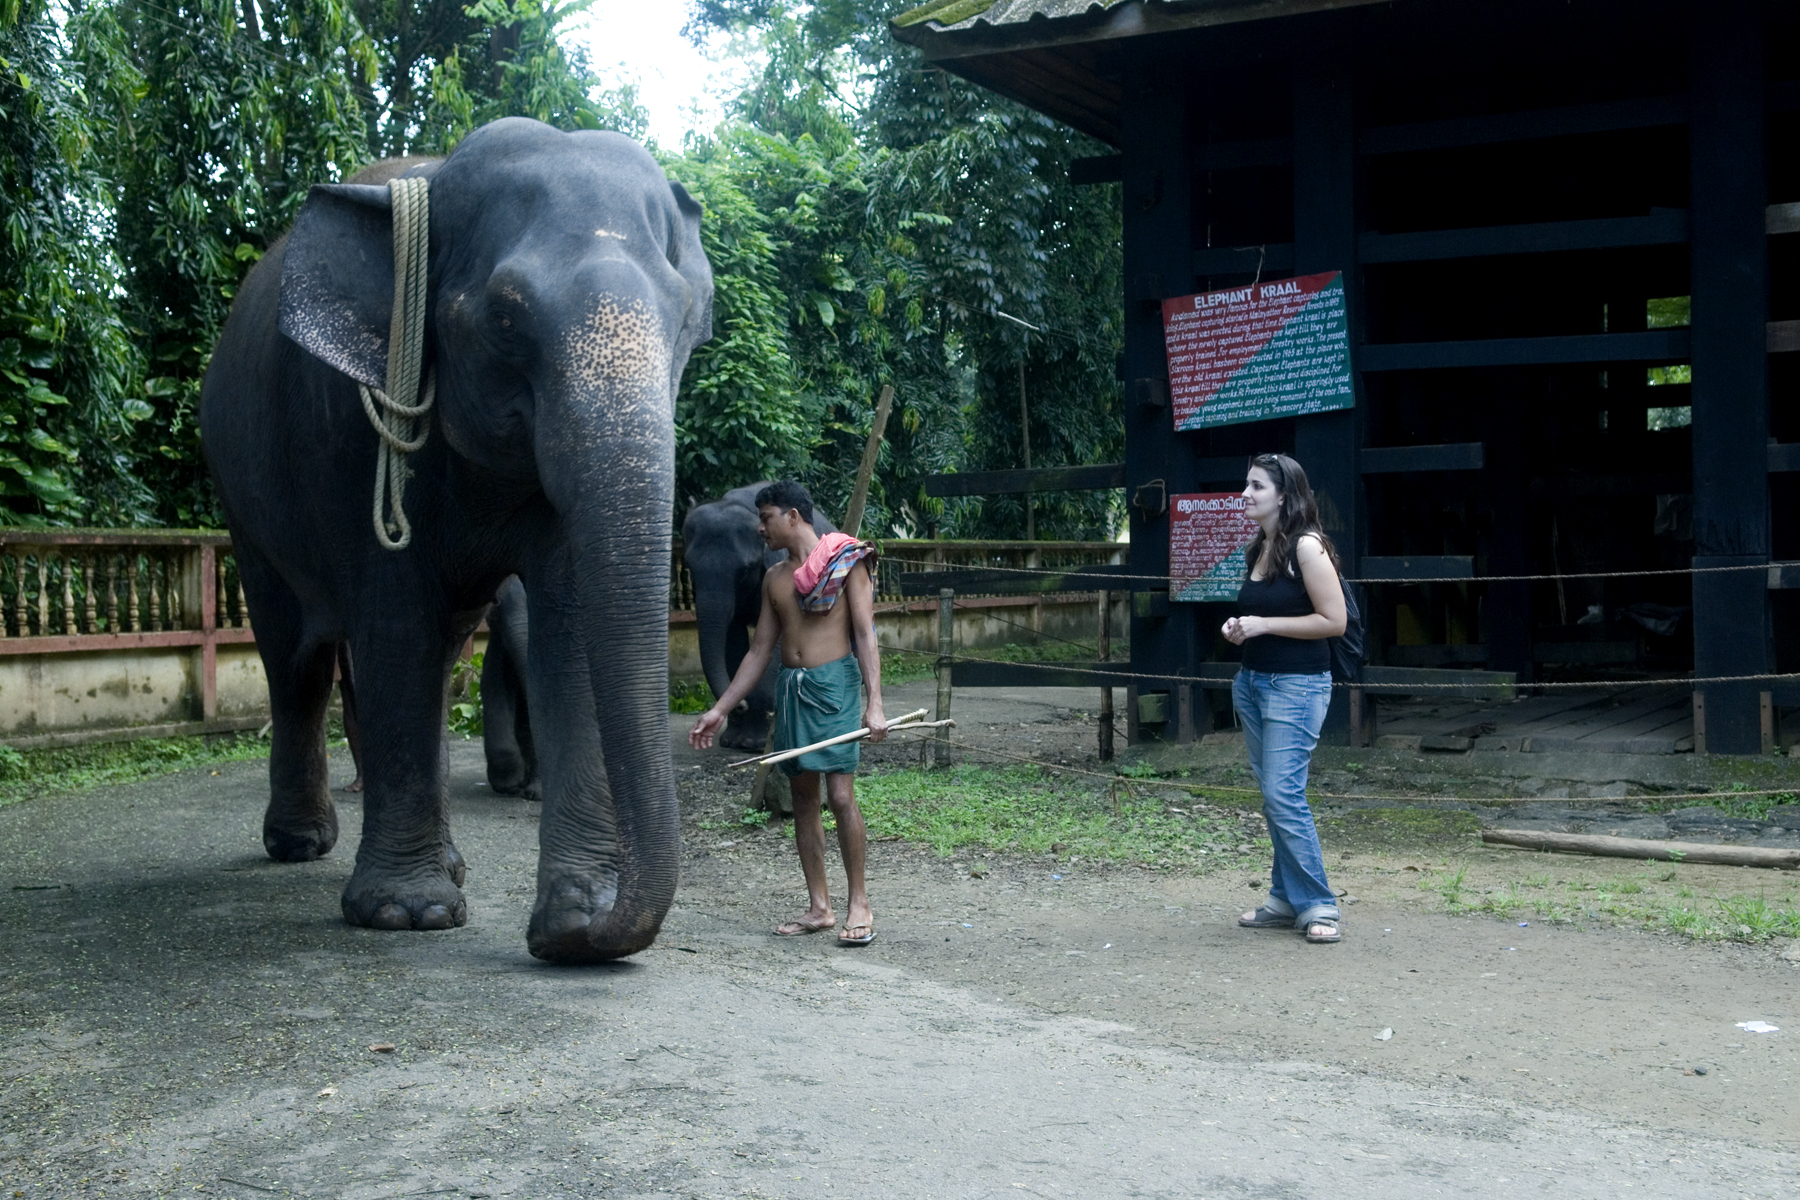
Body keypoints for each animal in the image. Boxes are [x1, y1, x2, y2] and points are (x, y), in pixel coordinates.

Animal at [199, 117, 713, 962]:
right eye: (504, 318)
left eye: (684, 320)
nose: (569, 937)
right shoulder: (351, 429)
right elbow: (395, 619)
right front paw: (409, 916)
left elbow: (568, 629)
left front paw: (570, 916)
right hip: (242, 496)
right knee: (296, 658)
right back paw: (303, 845)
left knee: (435, 660)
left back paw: (449, 864)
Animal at [681, 483, 835, 751]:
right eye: (689, 566)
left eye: (744, 569)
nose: (741, 705)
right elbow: (733, 639)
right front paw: (731, 742)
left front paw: (753, 744)